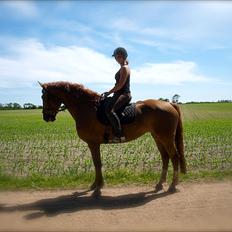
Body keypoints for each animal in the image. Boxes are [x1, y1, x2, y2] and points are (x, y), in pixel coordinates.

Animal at [38, 80, 187, 193]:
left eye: (44, 97)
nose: (46, 117)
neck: (87, 108)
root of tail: (170, 103)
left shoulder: (93, 143)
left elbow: (97, 163)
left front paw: (98, 186)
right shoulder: (93, 144)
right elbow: (97, 163)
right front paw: (96, 185)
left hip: (166, 138)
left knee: (174, 157)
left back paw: (173, 185)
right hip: (157, 137)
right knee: (165, 157)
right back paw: (160, 184)